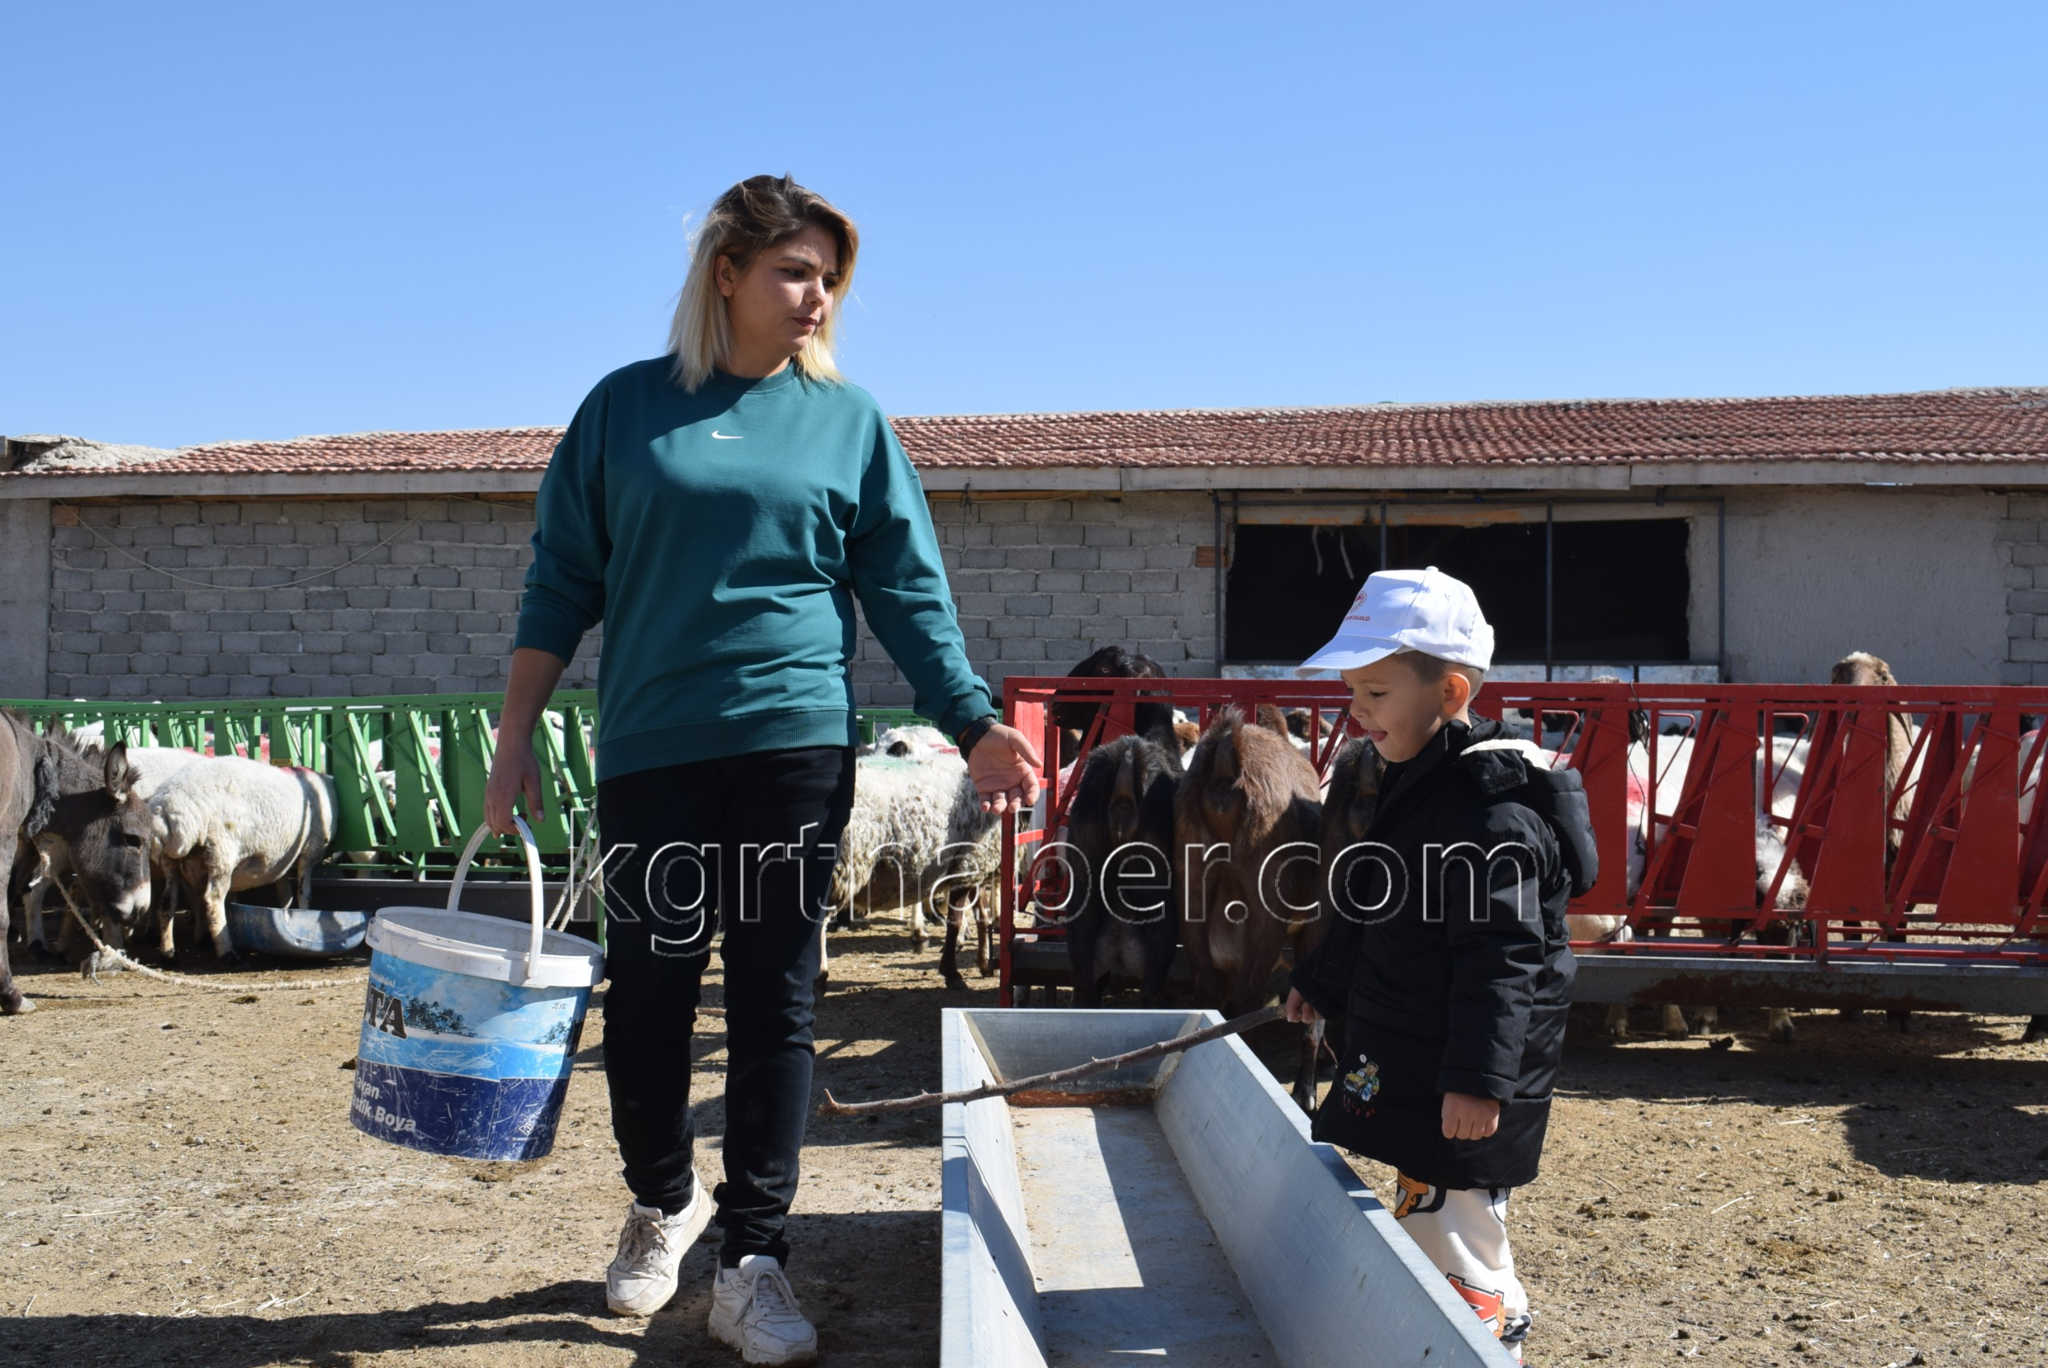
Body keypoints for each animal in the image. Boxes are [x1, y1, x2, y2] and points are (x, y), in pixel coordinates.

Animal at [146, 757, 335, 962]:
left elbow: (284, 890)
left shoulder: (282, 859)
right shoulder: (310, 850)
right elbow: (304, 892)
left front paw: (286, 910)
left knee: (167, 901)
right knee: (212, 900)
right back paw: (226, 951)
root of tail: (166, 810)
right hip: (221, 852)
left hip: (169, 860)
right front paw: (304, 912)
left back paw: (169, 951)